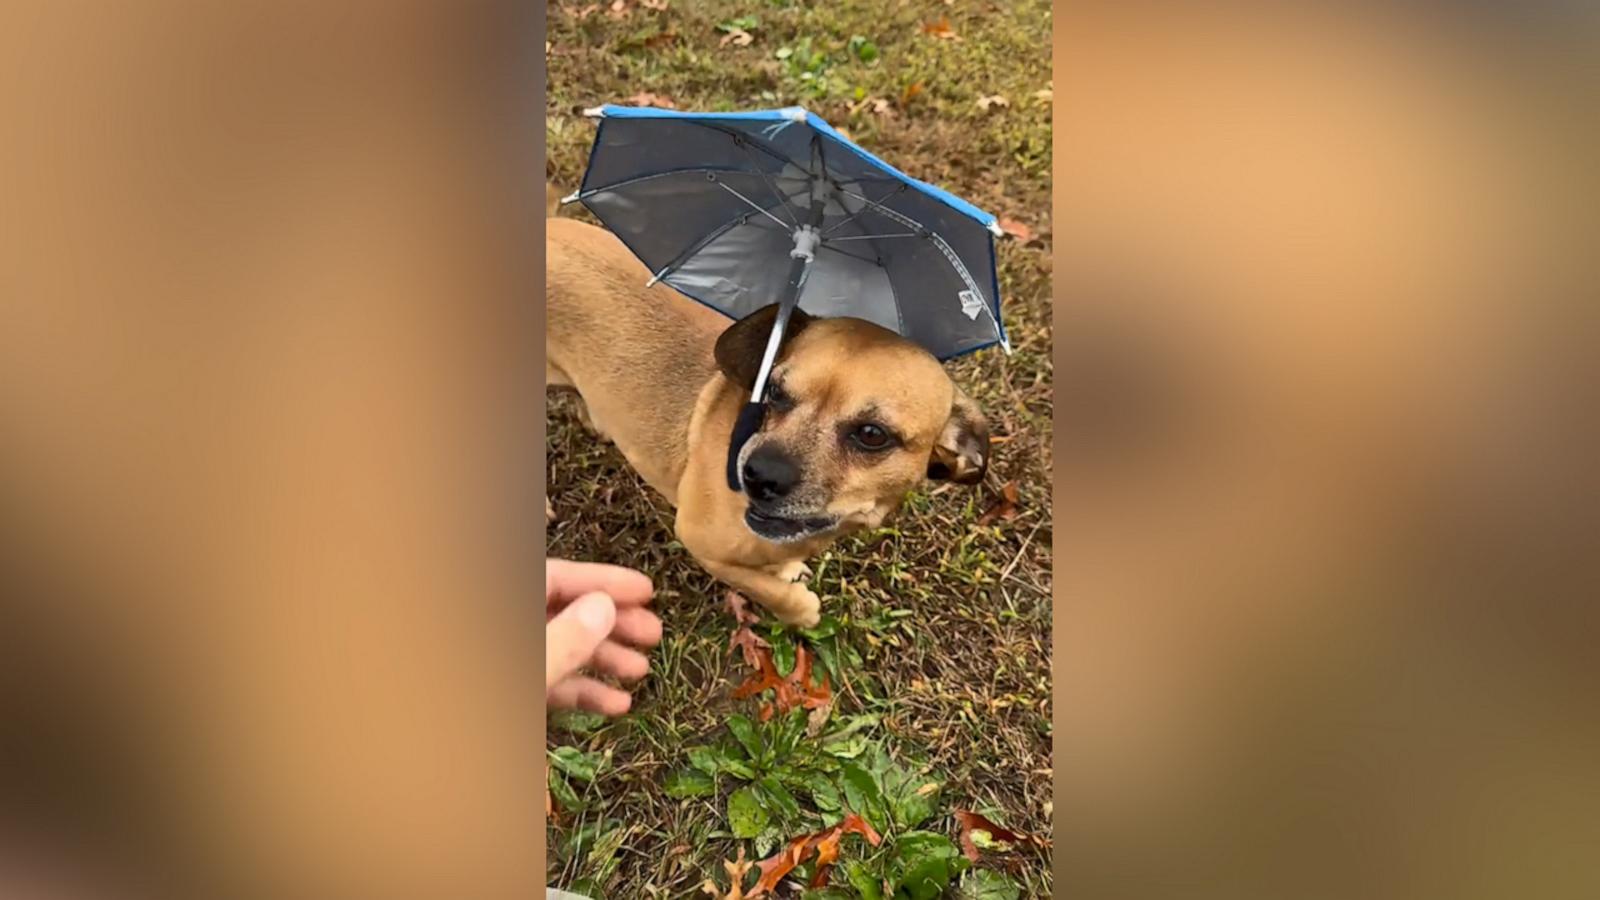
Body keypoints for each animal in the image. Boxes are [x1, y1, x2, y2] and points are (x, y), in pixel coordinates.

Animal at [544, 196, 985, 624]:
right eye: (773, 390)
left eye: (872, 434)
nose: (757, 475)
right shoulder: (699, 539)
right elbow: (771, 591)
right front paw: (799, 608)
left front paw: (785, 570)